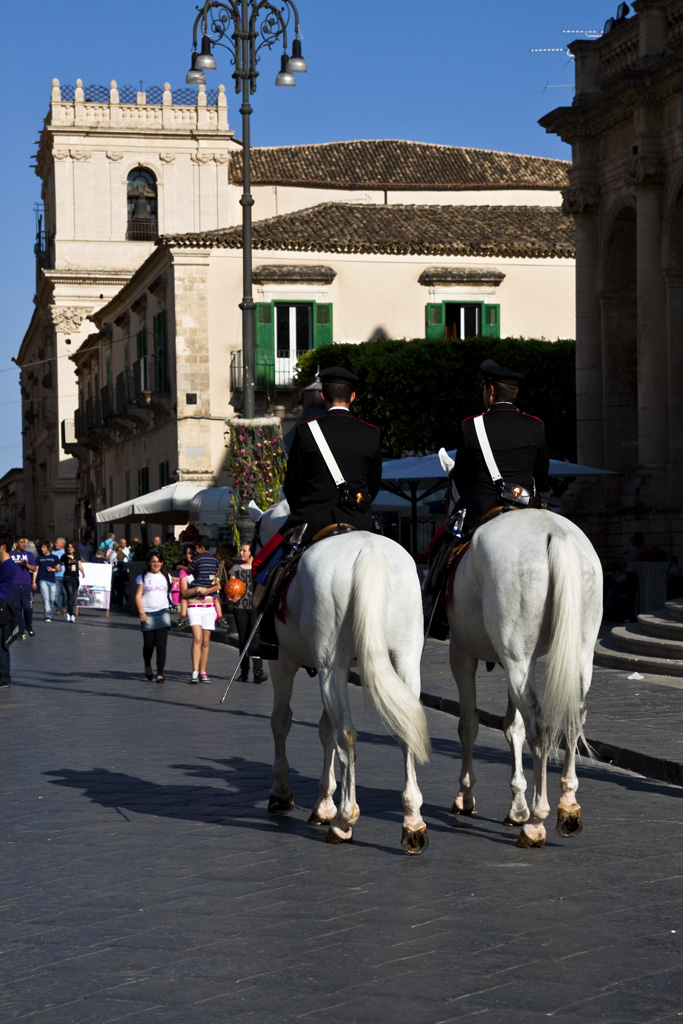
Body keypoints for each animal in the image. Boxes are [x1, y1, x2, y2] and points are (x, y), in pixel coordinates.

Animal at [249, 499, 431, 854]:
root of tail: (369, 551)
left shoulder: (284, 663)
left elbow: (282, 721)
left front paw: (283, 794)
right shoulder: (341, 670)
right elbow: (325, 729)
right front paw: (323, 803)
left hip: (329, 663)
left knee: (348, 734)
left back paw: (346, 820)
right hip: (403, 658)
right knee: (405, 727)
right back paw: (413, 822)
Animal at [438, 452, 603, 848]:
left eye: (449, 488)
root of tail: (556, 536)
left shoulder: (463, 654)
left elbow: (469, 724)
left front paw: (467, 796)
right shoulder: (513, 660)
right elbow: (512, 727)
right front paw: (516, 806)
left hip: (515, 658)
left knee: (540, 727)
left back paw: (538, 821)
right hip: (574, 654)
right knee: (573, 716)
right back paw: (568, 806)